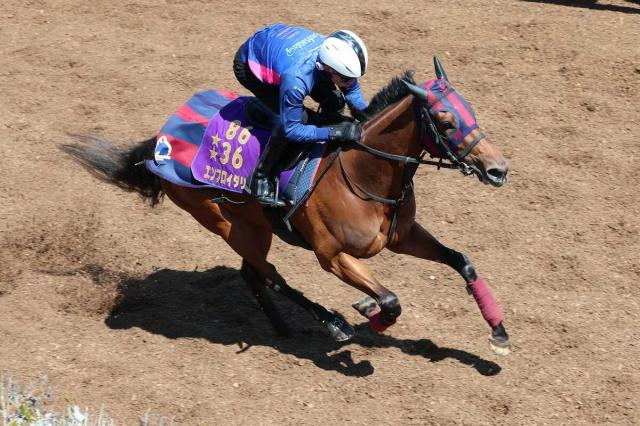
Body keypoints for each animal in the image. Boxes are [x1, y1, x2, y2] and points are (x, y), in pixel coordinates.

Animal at [63, 57, 512, 356]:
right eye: (446, 121)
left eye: (470, 110)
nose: (498, 169)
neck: (364, 174)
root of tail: (161, 138)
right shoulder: (331, 255)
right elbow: (390, 301)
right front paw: (368, 312)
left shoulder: (402, 237)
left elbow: (462, 261)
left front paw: (499, 331)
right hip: (229, 223)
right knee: (268, 273)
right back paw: (332, 323)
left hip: (252, 227)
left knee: (252, 273)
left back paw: (281, 326)